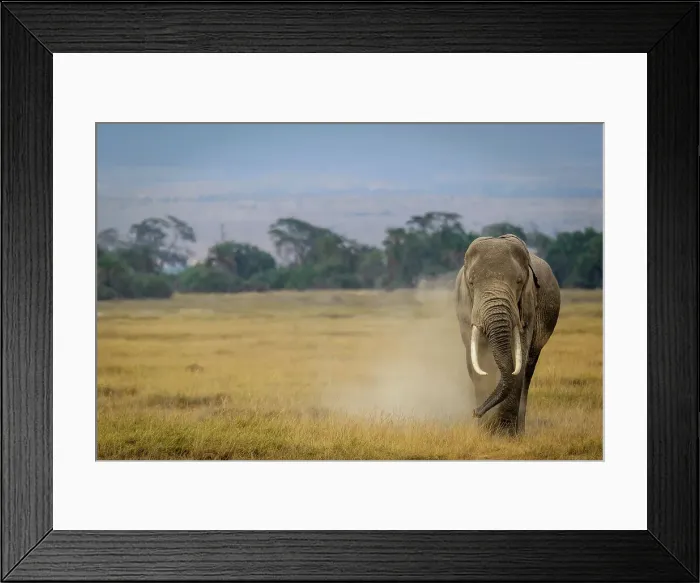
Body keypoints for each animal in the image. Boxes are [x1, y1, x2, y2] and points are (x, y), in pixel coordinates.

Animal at [455, 234, 561, 435]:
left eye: (519, 281)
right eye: (471, 282)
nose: (475, 412)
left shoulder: (528, 307)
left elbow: (518, 360)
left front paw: (503, 435)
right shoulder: (465, 308)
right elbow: (479, 360)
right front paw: (485, 432)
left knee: (528, 369)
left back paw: (519, 432)